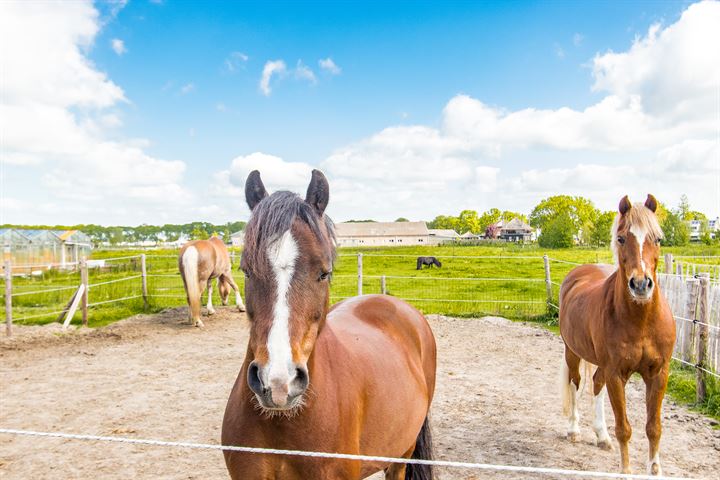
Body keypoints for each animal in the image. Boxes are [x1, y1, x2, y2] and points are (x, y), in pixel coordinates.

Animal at [564, 195, 676, 476]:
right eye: (622, 238)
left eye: (658, 239)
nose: (641, 284)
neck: (641, 321)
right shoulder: (617, 374)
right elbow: (624, 429)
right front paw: (625, 471)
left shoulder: (658, 374)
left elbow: (654, 428)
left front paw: (654, 470)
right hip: (572, 352)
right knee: (575, 383)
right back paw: (573, 430)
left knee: (596, 383)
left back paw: (602, 436)